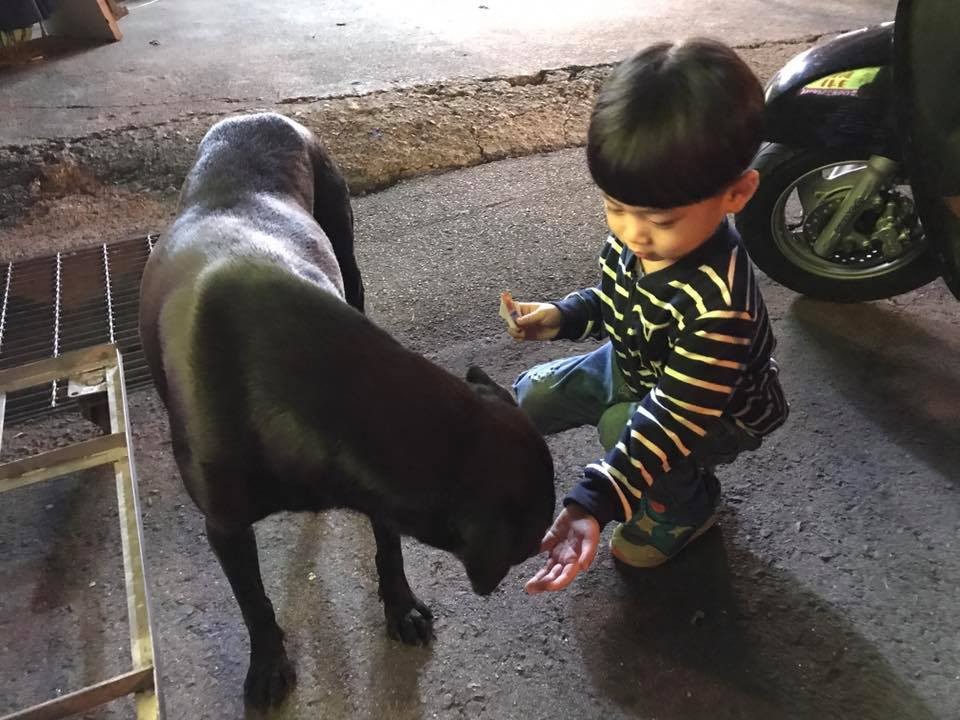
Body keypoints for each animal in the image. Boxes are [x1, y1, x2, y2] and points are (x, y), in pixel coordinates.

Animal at [137, 112, 556, 708]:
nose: (548, 543)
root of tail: (256, 117)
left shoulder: (378, 490)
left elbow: (389, 549)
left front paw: (400, 607)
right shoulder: (225, 527)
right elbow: (254, 602)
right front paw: (268, 662)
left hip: (346, 249)